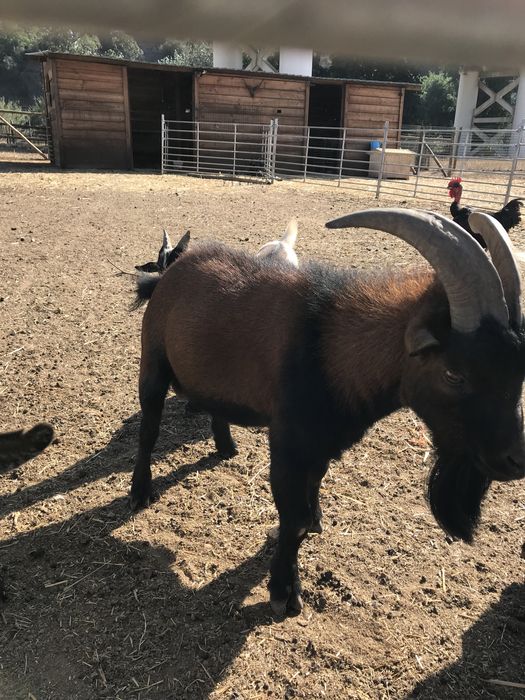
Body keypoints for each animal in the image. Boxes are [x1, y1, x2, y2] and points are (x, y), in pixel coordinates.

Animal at [130, 208, 525, 616]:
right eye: (454, 373)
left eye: (519, 370)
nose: (515, 460)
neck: (328, 347)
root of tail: (168, 274)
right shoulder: (287, 444)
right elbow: (293, 521)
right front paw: (284, 593)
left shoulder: (323, 444)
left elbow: (312, 497)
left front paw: (316, 524)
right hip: (153, 365)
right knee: (149, 429)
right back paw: (140, 492)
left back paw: (226, 447)